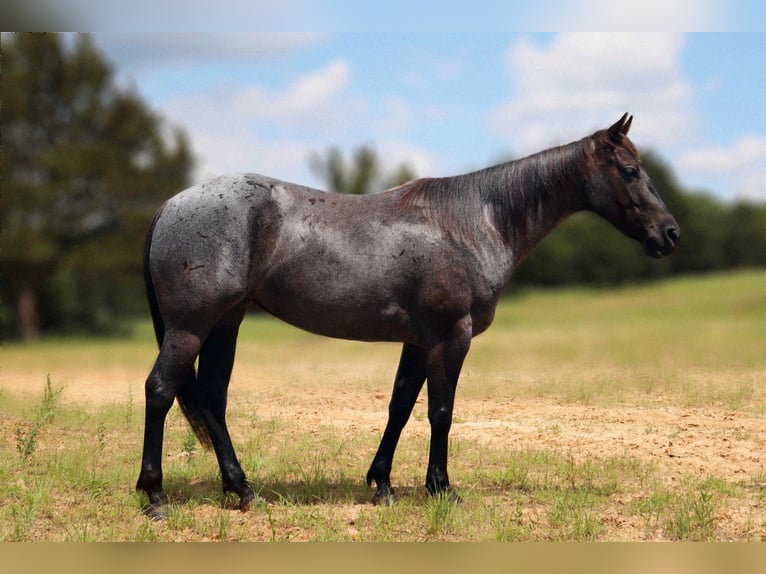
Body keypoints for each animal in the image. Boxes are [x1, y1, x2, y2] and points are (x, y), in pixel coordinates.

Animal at [136, 115, 680, 520]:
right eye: (630, 170)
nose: (670, 234)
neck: (474, 221)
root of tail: (170, 205)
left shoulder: (418, 341)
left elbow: (399, 406)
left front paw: (382, 484)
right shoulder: (451, 336)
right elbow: (441, 411)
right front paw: (442, 488)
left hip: (225, 324)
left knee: (213, 400)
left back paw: (242, 489)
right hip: (190, 327)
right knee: (160, 391)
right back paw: (155, 496)